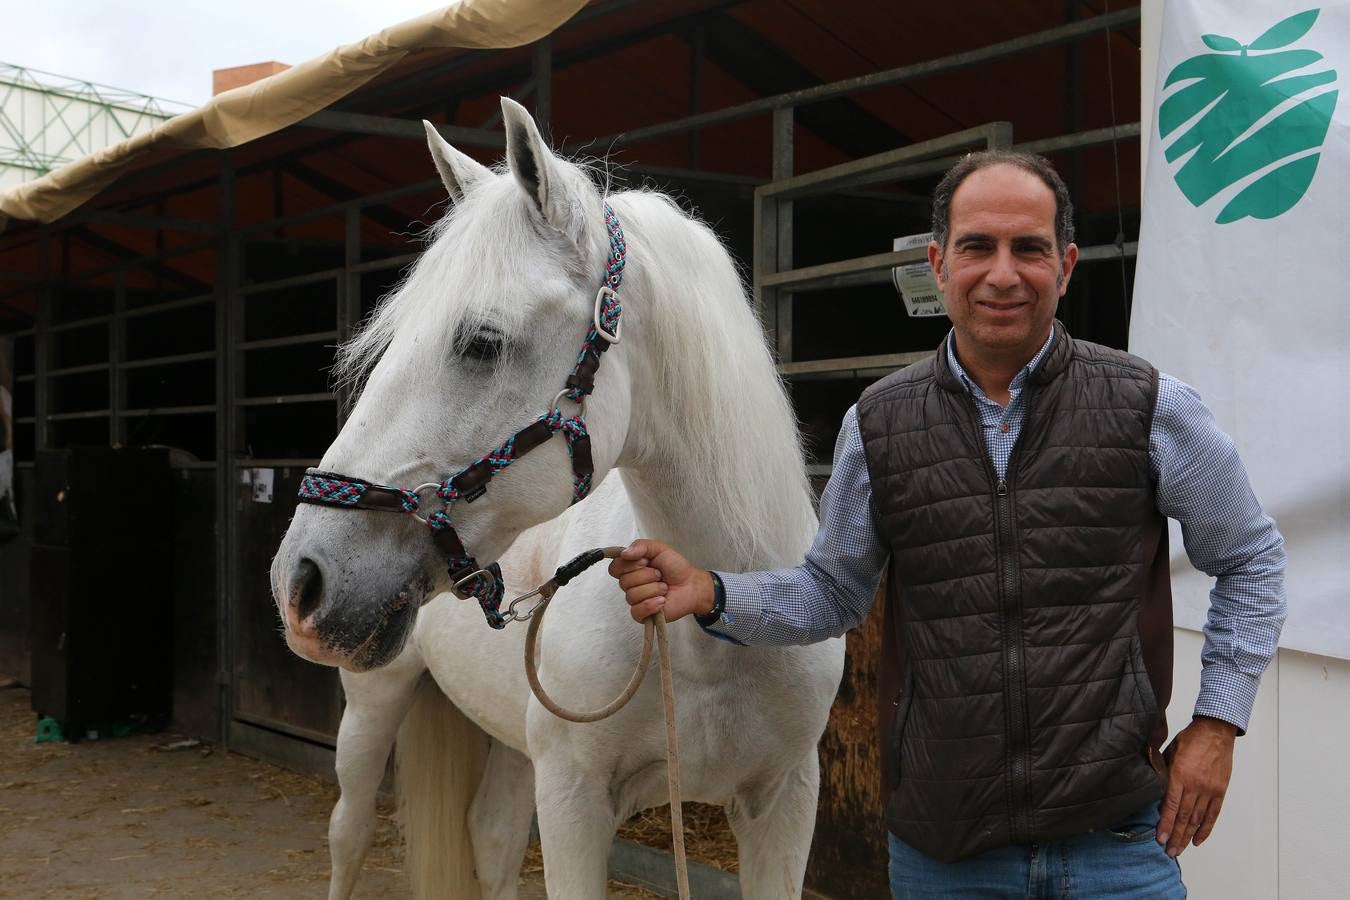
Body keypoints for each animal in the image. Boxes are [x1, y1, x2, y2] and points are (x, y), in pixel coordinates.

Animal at [270, 98, 842, 900]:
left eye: (481, 341)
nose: (302, 582)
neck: (716, 632)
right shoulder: (575, 799)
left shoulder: (784, 802)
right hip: (375, 702)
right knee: (348, 833)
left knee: (491, 835)